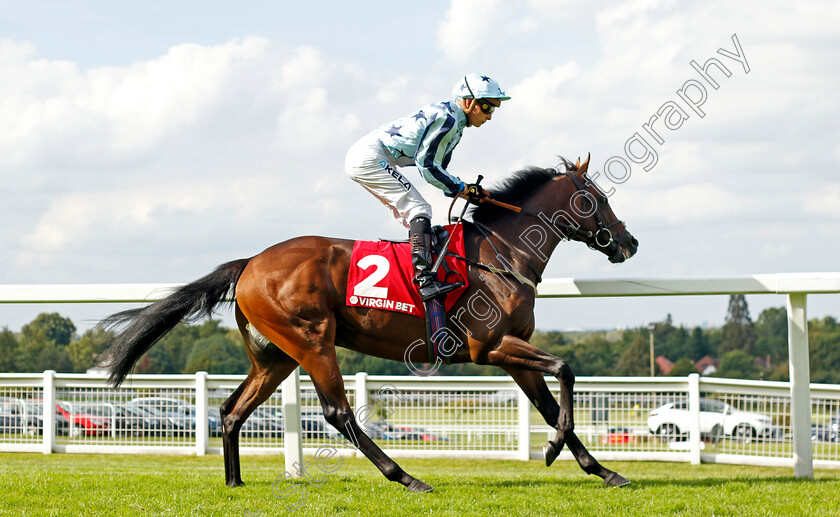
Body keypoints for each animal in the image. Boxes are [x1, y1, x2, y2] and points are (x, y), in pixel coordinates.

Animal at [100, 154, 636, 492]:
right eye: (597, 198)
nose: (628, 242)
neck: (501, 254)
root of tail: (249, 262)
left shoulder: (513, 351)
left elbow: (549, 404)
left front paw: (600, 470)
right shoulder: (490, 346)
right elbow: (566, 369)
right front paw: (553, 449)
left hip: (275, 357)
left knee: (233, 410)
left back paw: (235, 481)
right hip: (313, 342)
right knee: (338, 412)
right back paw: (407, 477)